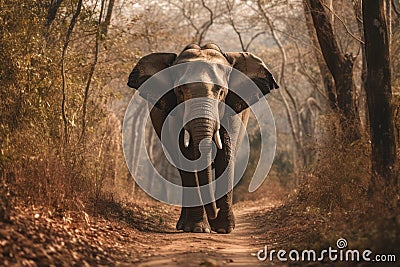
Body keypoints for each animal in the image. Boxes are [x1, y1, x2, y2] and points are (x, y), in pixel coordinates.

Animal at [126, 44, 276, 234]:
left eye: (221, 92)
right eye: (180, 92)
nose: (215, 211)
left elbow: (226, 154)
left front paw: (224, 229)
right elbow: (185, 154)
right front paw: (197, 228)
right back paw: (185, 225)